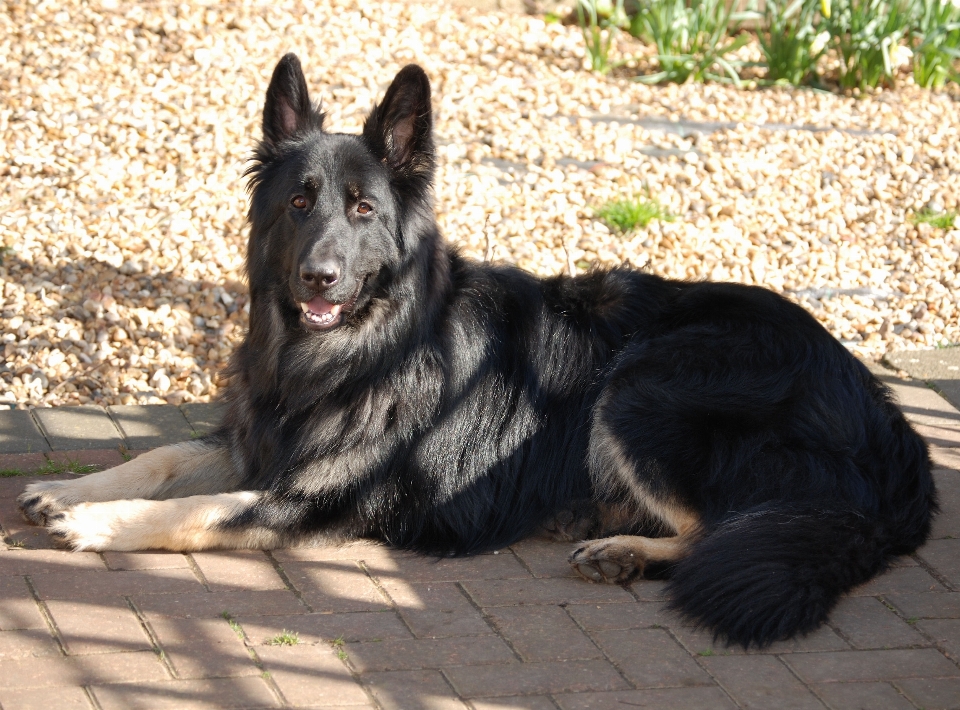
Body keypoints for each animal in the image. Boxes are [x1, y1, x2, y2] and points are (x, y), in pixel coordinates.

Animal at [18, 55, 936, 652]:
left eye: (362, 209)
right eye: (300, 203)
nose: (319, 276)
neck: (364, 349)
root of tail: (895, 430)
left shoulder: (311, 500)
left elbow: (189, 512)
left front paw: (93, 521)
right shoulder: (259, 441)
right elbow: (165, 460)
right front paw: (67, 490)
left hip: (644, 387)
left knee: (722, 529)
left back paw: (622, 550)